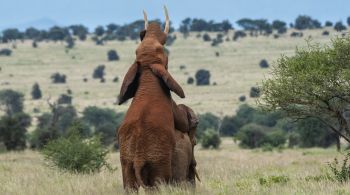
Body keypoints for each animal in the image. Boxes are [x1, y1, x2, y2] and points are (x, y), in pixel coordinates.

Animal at [117, 6, 186, 190]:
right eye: (163, 52)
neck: (148, 73)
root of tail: (139, 158)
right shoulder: (170, 102)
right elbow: (182, 123)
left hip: (126, 162)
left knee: (129, 187)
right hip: (158, 162)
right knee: (158, 184)